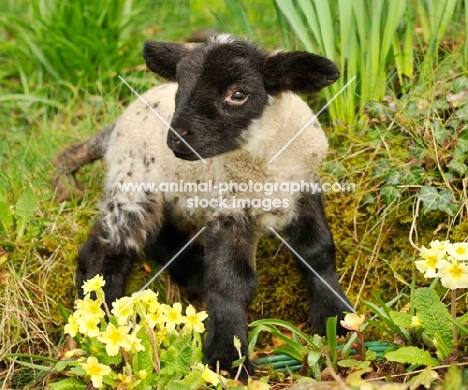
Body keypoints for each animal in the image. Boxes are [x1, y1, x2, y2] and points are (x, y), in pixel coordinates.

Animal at [58, 33, 352, 380]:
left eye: (238, 94)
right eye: (180, 88)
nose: (177, 140)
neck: (265, 163)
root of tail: (115, 126)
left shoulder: (305, 192)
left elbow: (317, 252)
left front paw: (339, 322)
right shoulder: (228, 211)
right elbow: (230, 281)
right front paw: (227, 361)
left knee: (162, 237)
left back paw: (191, 276)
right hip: (131, 185)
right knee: (106, 249)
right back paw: (101, 318)